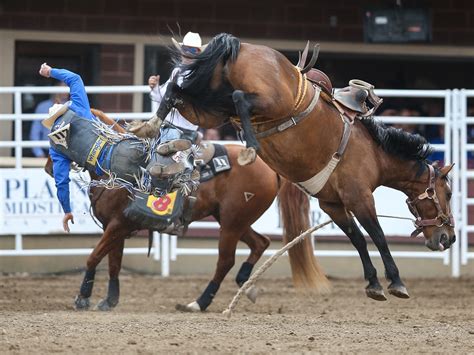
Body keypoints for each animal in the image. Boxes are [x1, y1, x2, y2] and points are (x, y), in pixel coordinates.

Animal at [132, 33, 456, 302]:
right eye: (449, 193)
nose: (448, 238)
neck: (374, 154)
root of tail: (241, 46)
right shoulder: (359, 197)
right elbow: (375, 235)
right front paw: (396, 282)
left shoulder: (332, 204)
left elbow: (357, 239)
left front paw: (374, 284)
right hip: (262, 102)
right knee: (238, 99)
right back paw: (249, 147)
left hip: (212, 107)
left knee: (178, 90)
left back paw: (152, 130)